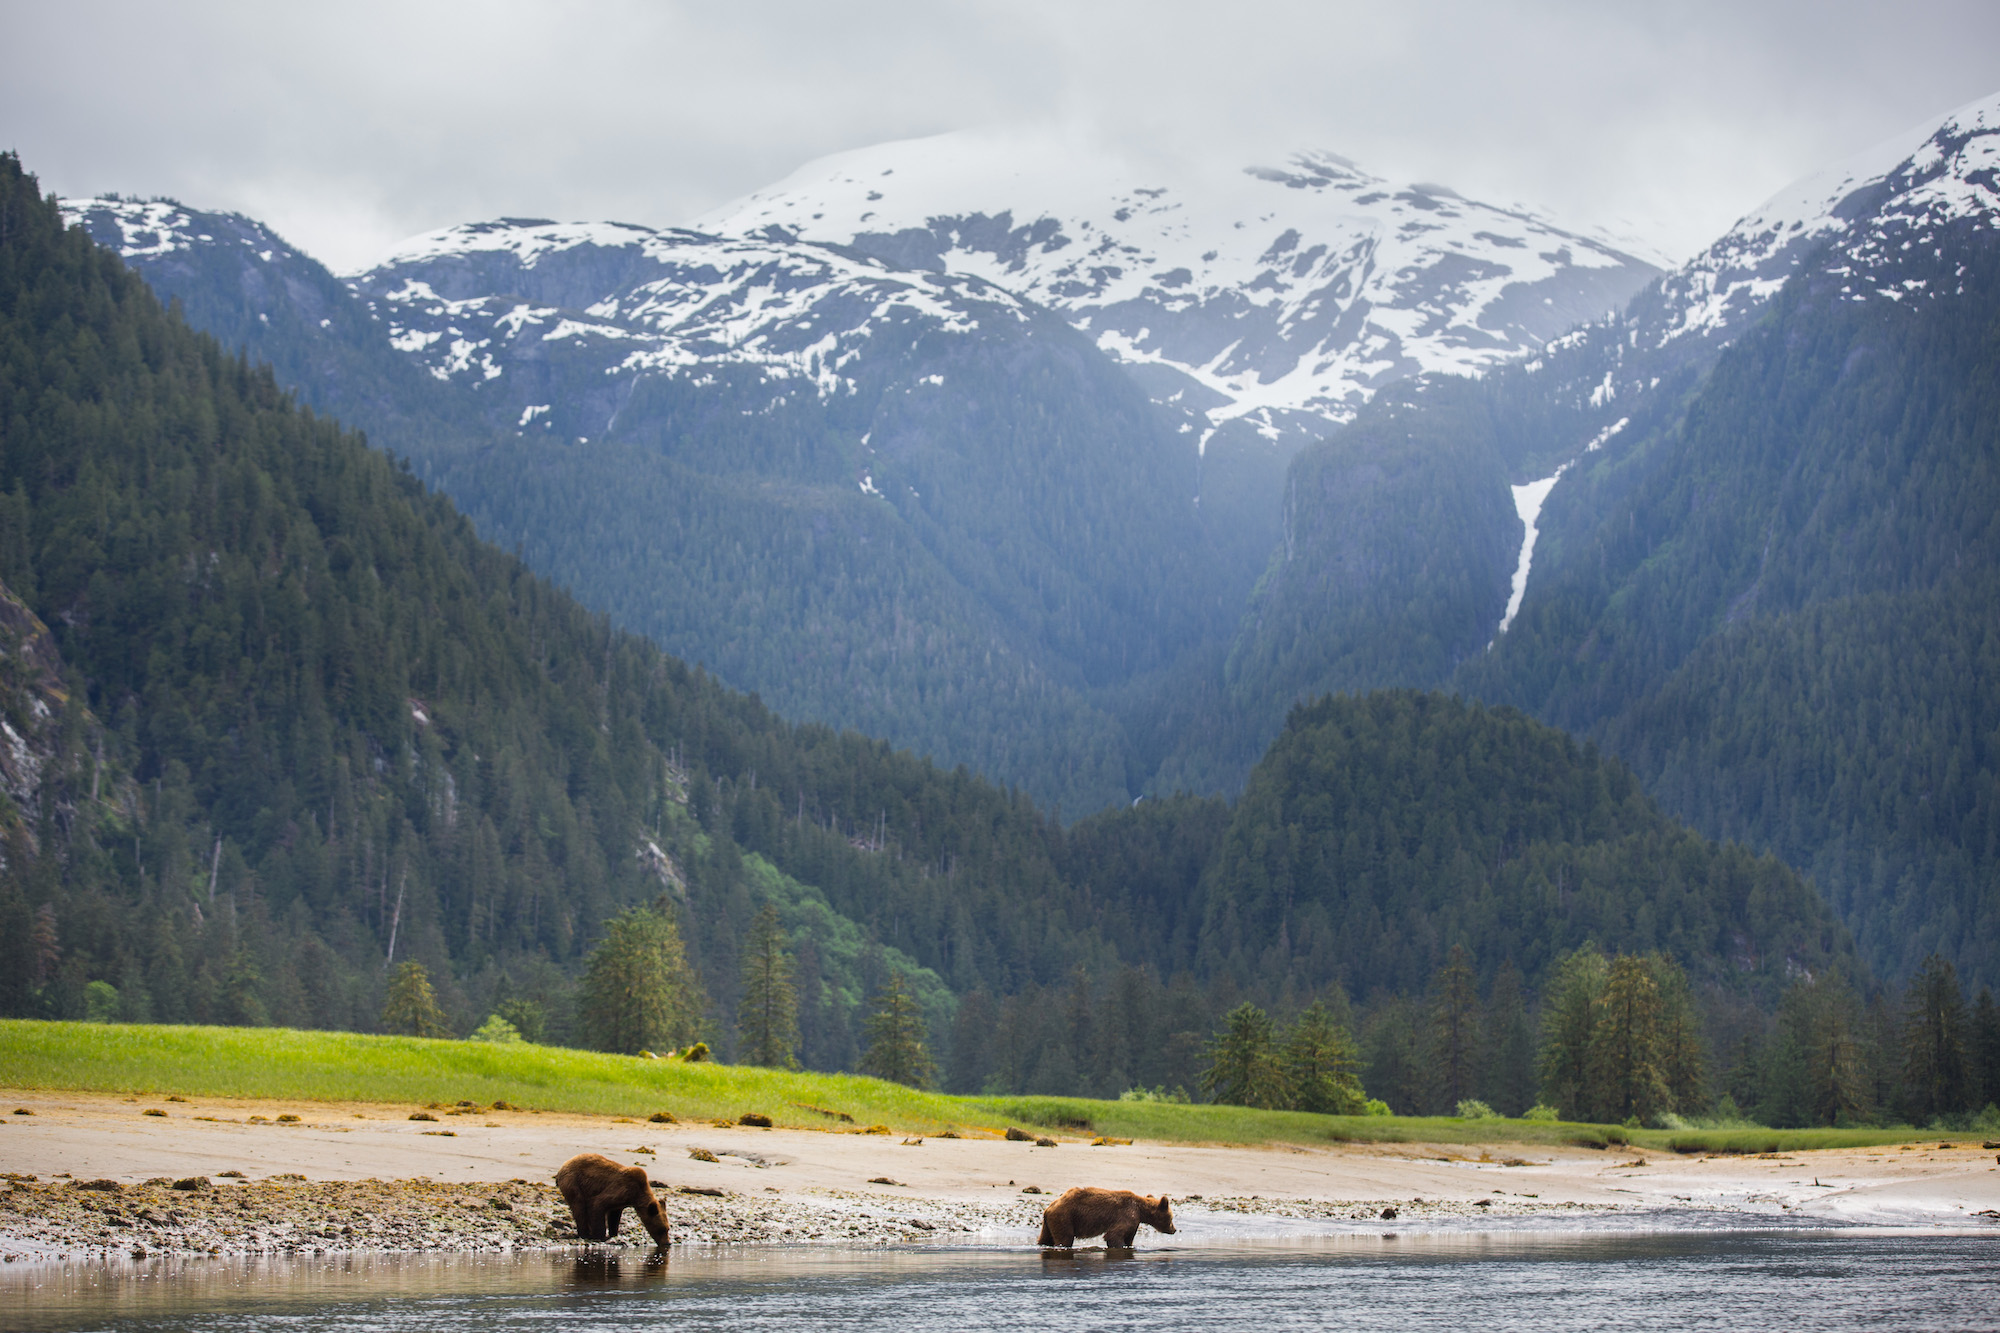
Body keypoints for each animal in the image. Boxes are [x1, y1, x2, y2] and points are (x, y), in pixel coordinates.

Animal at [1040, 1184, 1176, 1248]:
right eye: (1171, 1217)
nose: (1174, 1229)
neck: (1141, 1210)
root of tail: (1048, 1208)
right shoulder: (1127, 1215)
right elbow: (1114, 1235)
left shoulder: (1134, 1222)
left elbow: (1129, 1237)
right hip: (1065, 1218)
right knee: (1065, 1238)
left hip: (1049, 1223)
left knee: (1045, 1238)